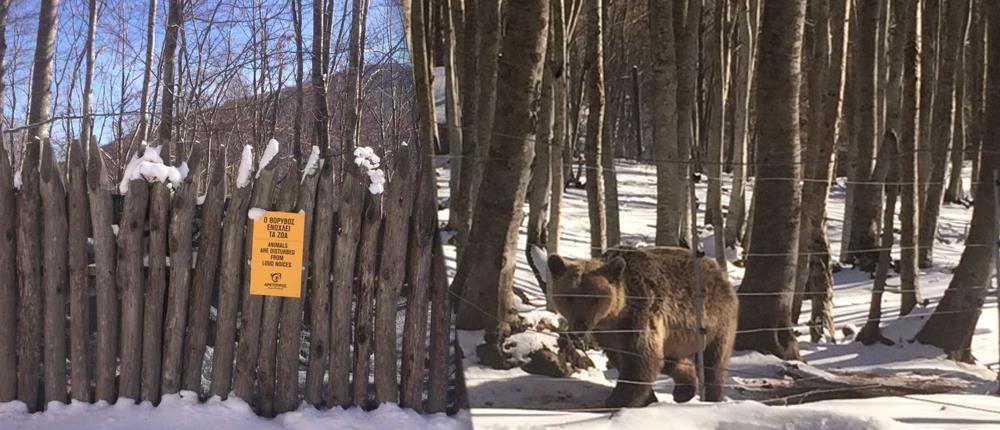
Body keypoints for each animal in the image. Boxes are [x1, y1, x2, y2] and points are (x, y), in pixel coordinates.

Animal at [544, 245, 740, 406]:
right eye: (569, 297)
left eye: (594, 298)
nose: (580, 325)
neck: (617, 313)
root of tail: (718, 270)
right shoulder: (608, 332)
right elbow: (622, 357)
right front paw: (648, 398)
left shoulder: (640, 315)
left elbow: (640, 358)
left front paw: (617, 400)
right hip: (678, 336)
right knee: (670, 359)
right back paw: (684, 390)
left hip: (717, 321)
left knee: (714, 362)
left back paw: (712, 397)